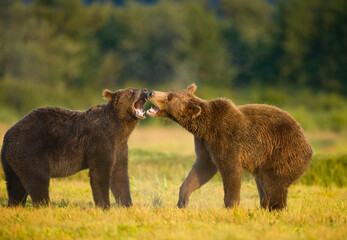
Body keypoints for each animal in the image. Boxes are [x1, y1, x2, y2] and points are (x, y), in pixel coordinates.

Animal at [0, 87, 147, 207]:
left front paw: (127, 205)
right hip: (31, 149)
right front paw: (104, 205)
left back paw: (15, 205)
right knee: (38, 180)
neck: (120, 128)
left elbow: (119, 174)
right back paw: (44, 205)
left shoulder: (120, 147)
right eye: (131, 91)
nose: (145, 90)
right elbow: (99, 174)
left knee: (15, 186)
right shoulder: (100, 141)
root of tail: (7, 136)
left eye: (137, 88)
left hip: (13, 161)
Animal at [147, 84, 312, 210]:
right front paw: (182, 202)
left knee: (273, 184)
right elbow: (202, 169)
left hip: (281, 153)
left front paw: (231, 206)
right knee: (262, 184)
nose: (150, 92)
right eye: (170, 91)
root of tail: (307, 142)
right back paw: (263, 207)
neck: (205, 127)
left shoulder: (226, 138)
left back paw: (275, 208)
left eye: (170, 97)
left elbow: (231, 170)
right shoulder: (204, 143)